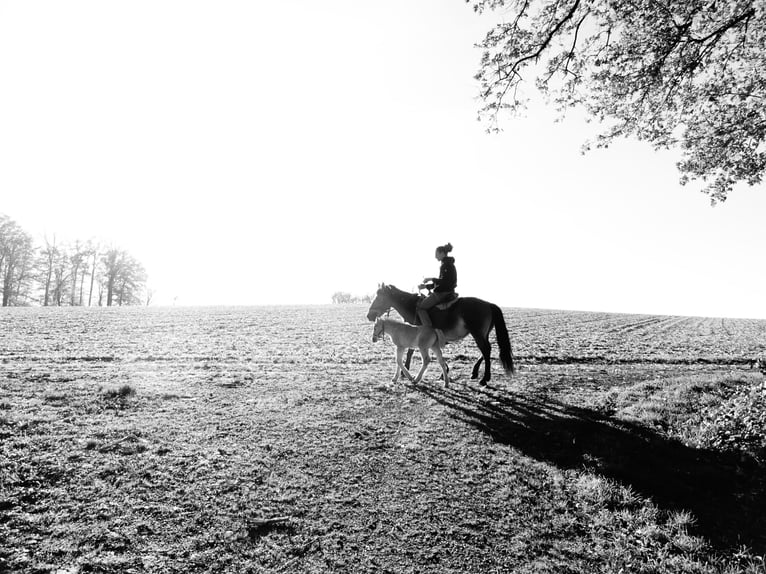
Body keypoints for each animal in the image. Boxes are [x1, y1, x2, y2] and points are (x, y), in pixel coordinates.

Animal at [366, 284, 516, 388]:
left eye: (379, 297)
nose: (369, 315)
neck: (413, 307)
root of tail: (489, 304)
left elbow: (409, 353)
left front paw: (405, 373)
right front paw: (444, 371)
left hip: (478, 334)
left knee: (485, 350)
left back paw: (484, 378)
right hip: (482, 334)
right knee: (486, 350)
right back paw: (475, 373)